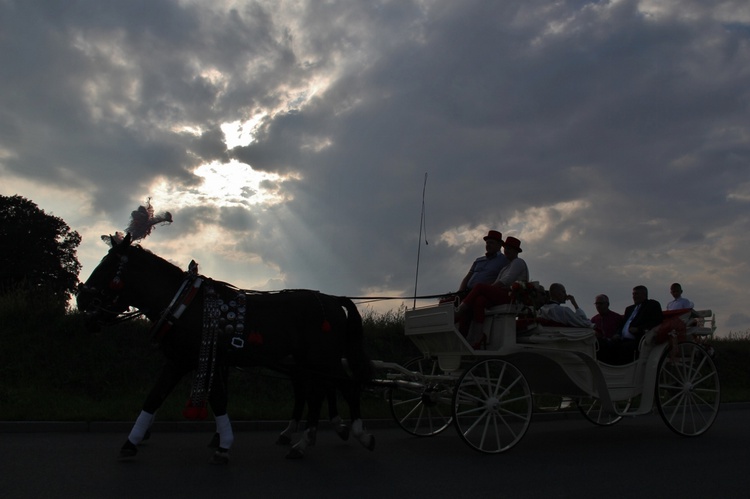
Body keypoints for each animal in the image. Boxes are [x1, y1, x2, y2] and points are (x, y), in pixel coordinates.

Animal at [76, 233, 376, 460]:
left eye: (106, 267)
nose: (81, 301)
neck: (185, 306)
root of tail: (334, 300)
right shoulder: (192, 361)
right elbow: (160, 397)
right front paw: (133, 441)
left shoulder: (189, 360)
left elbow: (209, 399)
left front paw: (223, 445)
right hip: (309, 363)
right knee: (318, 392)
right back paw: (307, 439)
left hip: (321, 359)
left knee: (340, 387)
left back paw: (350, 434)